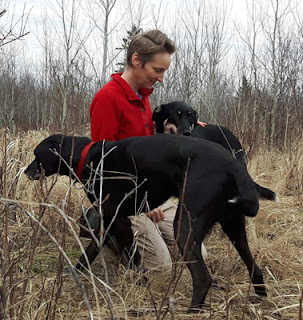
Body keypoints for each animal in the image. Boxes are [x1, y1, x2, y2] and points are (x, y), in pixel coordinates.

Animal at [26, 134, 268, 312]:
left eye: (36, 154)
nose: (26, 171)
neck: (90, 157)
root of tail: (233, 165)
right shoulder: (115, 222)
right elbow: (112, 255)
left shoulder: (117, 222)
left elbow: (113, 255)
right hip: (234, 227)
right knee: (254, 267)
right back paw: (260, 296)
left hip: (185, 228)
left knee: (202, 278)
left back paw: (192, 310)